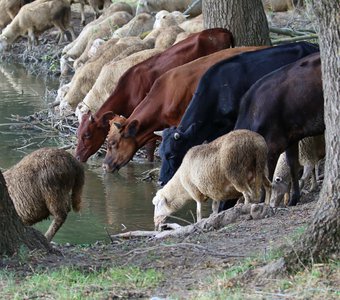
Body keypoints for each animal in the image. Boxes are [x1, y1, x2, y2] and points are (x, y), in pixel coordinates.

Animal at [74, 28, 234, 162]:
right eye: (78, 133)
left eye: (87, 134)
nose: (77, 157)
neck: (129, 90)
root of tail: (222, 30)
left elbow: (150, 147)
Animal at [234, 52, 324, 206]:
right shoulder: (291, 139)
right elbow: (293, 166)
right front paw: (293, 199)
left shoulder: (272, 147)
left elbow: (266, 178)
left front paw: (263, 202)